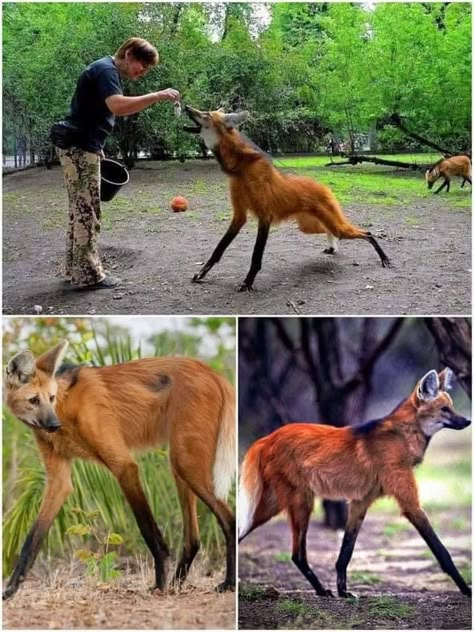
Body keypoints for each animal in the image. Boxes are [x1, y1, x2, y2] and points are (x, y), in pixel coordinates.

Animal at [2, 344, 235, 600]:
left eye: (50, 398)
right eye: (34, 400)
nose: (54, 425)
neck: (65, 408)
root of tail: (214, 373)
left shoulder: (124, 466)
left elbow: (146, 528)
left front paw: (159, 584)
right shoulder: (58, 481)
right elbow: (32, 538)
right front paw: (11, 589)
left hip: (187, 463)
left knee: (230, 519)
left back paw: (227, 583)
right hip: (180, 465)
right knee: (193, 538)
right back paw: (177, 584)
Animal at [183, 105, 390, 292]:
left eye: (205, 114)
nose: (186, 107)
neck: (241, 169)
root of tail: (324, 186)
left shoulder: (264, 217)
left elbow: (256, 257)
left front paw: (247, 283)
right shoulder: (239, 216)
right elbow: (218, 250)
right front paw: (201, 274)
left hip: (332, 225)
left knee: (366, 233)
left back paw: (384, 258)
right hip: (309, 226)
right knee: (330, 231)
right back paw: (333, 248)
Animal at [239, 368, 472, 596]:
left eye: (451, 406)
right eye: (444, 409)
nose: (468, 421)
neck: (402, 436)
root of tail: (266, 439)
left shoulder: (360, 502)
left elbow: (346, 550)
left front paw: (343, 591)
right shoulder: (409, 504)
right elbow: (441, 551)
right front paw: (466, 588)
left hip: (274, 504)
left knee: (244, 532)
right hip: (301, 502)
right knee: (297, 555)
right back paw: (320, 590)